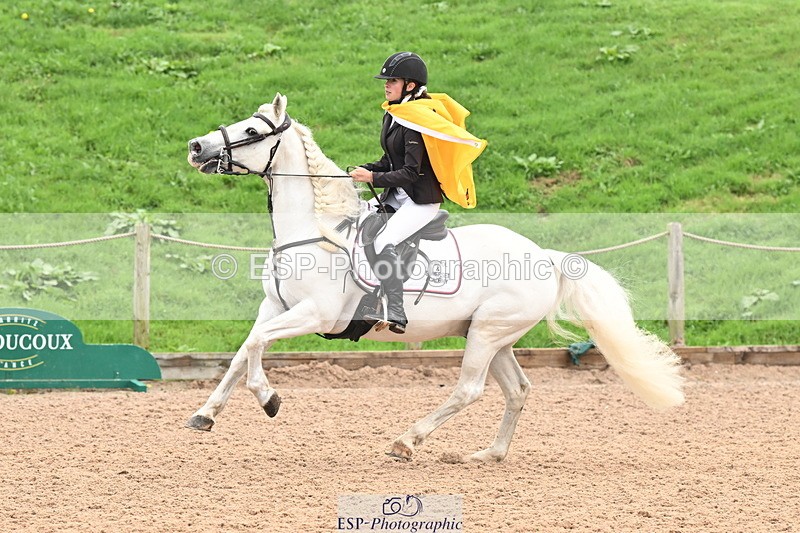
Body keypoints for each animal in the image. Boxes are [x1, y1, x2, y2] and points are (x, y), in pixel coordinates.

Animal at [184, 93, 684, 462]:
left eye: (252, 132)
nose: (196, 147)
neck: (317, 230)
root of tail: (544, 256)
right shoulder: (275, 307)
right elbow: (242, 351)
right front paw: (205, 415)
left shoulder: (315, 315)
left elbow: (254, 347)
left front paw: (268, 398)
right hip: (492, 335)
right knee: (517, 390)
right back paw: (489, 455)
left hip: (487, 333)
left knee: (469, 389)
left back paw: (406, 441)